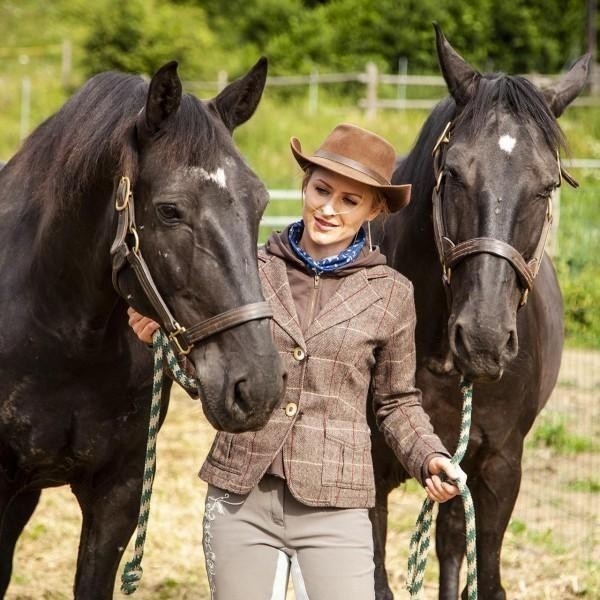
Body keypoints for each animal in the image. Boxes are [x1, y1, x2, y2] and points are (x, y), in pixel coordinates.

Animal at [370, 25, 592, 596]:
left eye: (547, 186)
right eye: (452, 173)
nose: (484, 340)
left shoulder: (499, 468)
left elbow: (485, 576)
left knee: (452, 545)